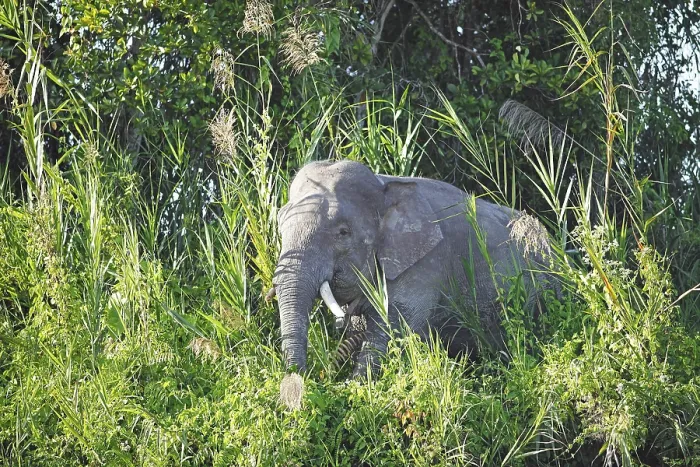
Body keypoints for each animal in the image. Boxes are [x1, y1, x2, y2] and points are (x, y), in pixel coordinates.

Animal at [272, 160, 554, 379]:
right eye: (280, 223)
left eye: (343, 232)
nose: (304, 379)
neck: (384, 185)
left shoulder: (426, 263)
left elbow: (392, 328)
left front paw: (356, 387)